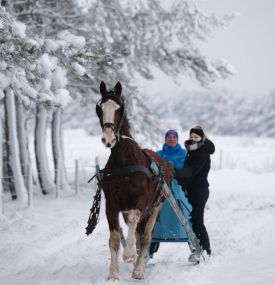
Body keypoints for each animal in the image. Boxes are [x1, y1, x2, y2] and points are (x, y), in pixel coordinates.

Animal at [95, 81, 172, 278]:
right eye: (99, 108)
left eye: (120, 108)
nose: (108, 139)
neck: (125, 160)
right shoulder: (112, 204)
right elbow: (114, 238)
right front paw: (113, 274)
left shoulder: (142, 201)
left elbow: (134, 220)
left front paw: (130, 254)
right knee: (137, 232)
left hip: (157, 205)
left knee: (145, 237)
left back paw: (138, 269)